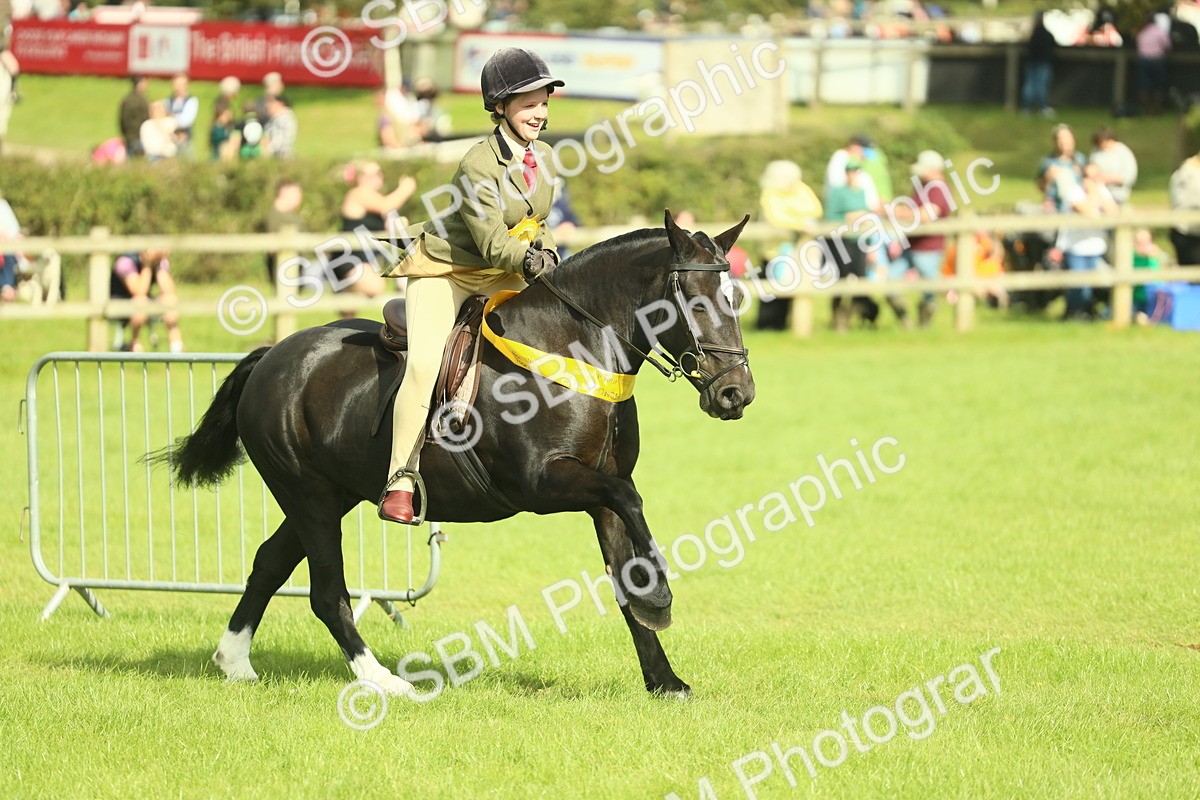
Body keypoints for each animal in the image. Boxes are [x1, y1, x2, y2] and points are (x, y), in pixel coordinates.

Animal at [164, 210, 755, 698]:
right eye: (695, 300)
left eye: (735, 298)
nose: (736, 393)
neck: (573, 348)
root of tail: (271, 357)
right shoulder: (545, 483)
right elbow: (631, 502)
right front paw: (662, 600)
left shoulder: (598, 491)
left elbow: (624, 565)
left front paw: (664, 678)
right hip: (308, 495)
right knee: (327, 593)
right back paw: (384, 682)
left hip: (327, 496)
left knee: (269, 563)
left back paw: (235, 662)